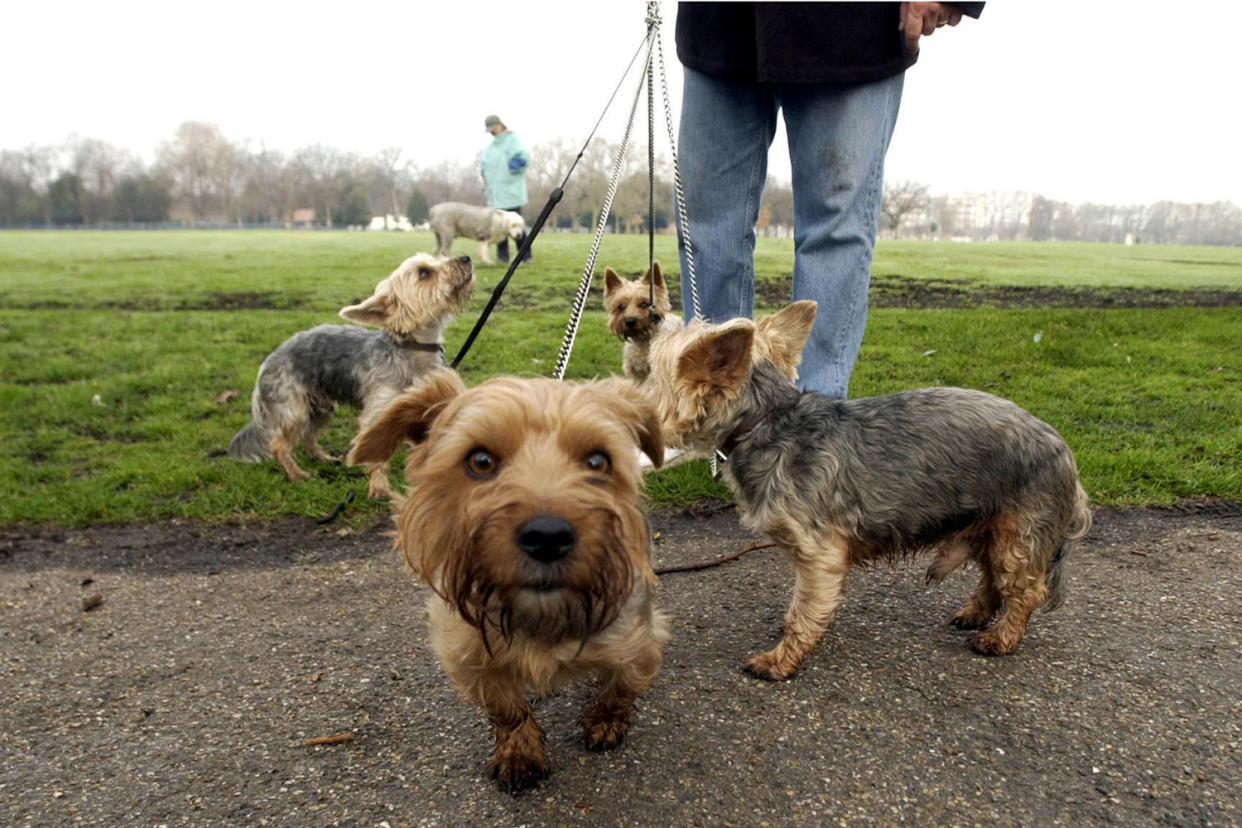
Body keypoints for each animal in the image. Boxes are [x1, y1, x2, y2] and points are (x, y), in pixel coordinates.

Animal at [350, 369, 670, 789]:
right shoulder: (469, 656)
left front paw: (606, 721)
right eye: (481, 461)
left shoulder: (639, 638)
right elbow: (506, 708)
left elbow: (624, 684)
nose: (548, 536)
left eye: (597, 461)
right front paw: (519, 752)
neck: (539, 614)